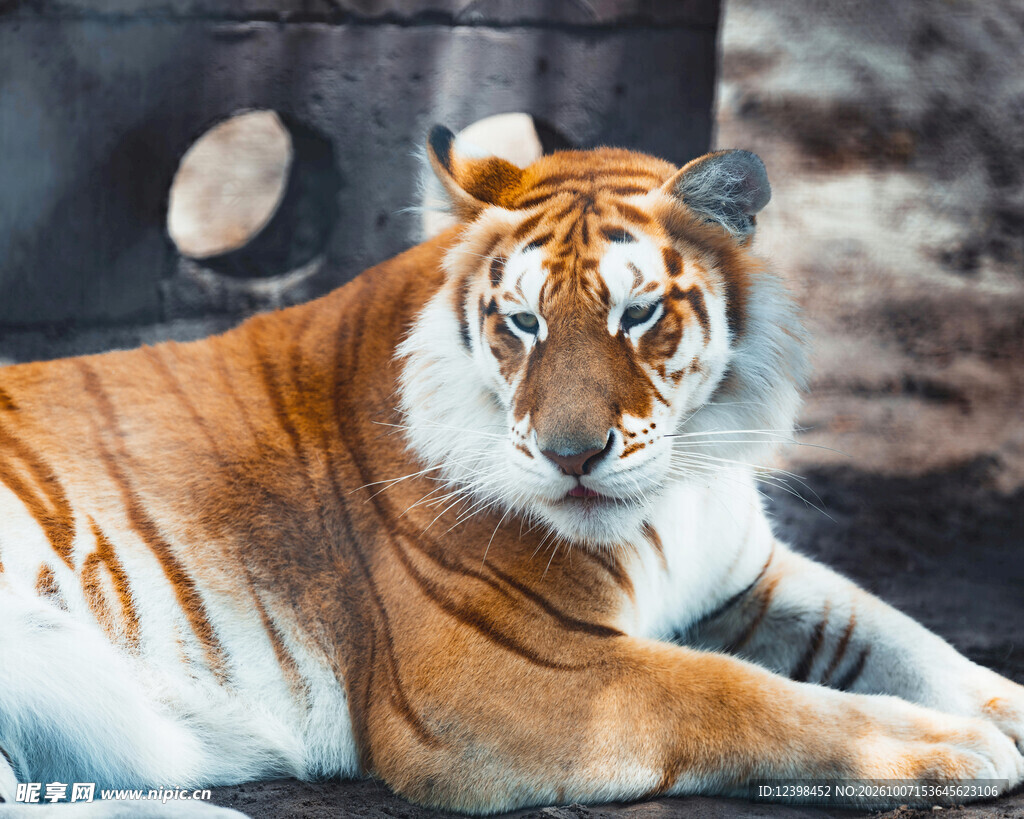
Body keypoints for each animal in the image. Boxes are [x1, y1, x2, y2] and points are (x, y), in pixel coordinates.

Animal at [0, 125, 1023, 815]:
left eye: (638, 314)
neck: (674, 495)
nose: (572, 455)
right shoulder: (504, 673)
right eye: (523, 322)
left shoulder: (749, 579)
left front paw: (1002, 708)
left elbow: (898, 635)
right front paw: (963, 745)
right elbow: (741, 694)